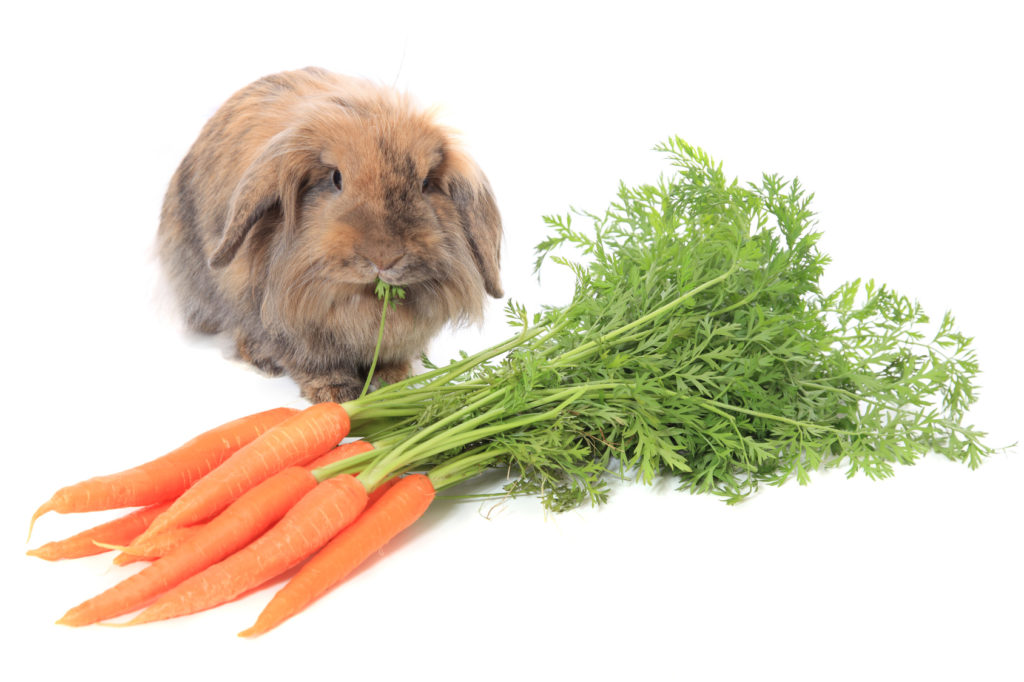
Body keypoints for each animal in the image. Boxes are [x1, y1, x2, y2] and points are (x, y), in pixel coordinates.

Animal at [157, 67, 503, 403]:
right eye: (336, 178)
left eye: (426, 183)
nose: (383, 257)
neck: (361, 302)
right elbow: (310, 362)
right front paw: (336, 394)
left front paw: (395, 381)